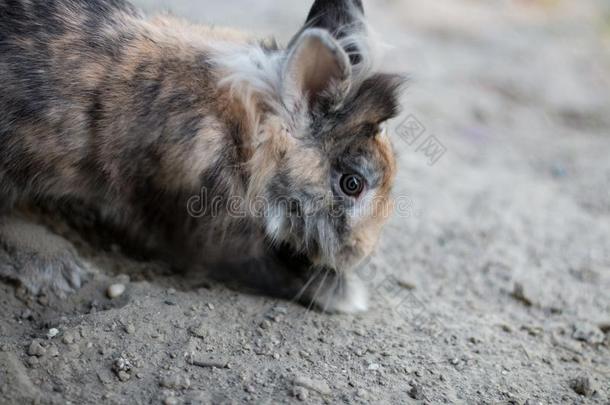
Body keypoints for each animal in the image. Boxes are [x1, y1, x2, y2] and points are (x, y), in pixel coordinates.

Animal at [1, 0, 404, 312]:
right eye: (352, 184)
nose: (361, 253)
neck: (242, 136)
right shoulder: (208, 232)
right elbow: (271, 269)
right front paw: (347, 298)